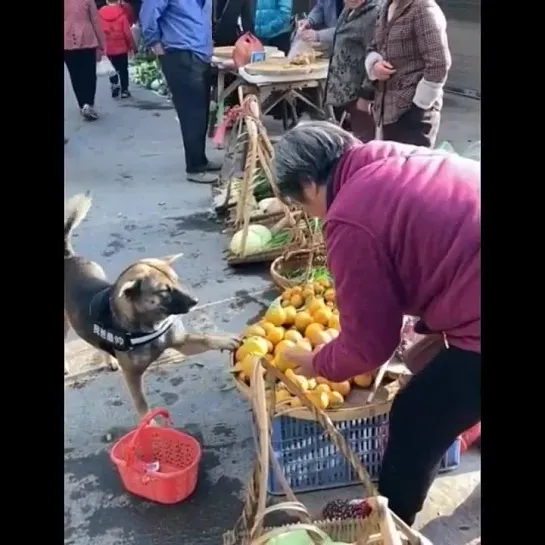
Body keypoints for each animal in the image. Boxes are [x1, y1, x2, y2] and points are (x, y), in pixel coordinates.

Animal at [64, 192, 240, 416]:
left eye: (176, 280)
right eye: (164, 291)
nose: (195, 301)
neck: (149, 325)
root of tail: (68, 257)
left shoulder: (182, 343)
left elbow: (205, 338)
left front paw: (224, 339)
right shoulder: (132, 376)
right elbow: (143, 406)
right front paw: (151, 422)